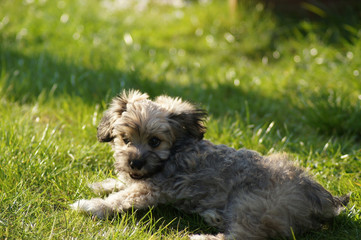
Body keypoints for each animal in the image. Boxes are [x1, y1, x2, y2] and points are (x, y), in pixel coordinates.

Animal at [70, 90, 348, 240]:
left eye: (155, 141)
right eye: (125, 139)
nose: (135, 162)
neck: (177, 149)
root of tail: (322, 199)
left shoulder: (153, 189)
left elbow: (122, 197)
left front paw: (91, 204)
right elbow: (121, 184)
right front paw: (102, 184)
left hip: (249, 201)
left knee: (242, 236)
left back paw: (200, 235)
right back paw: (214, 216)